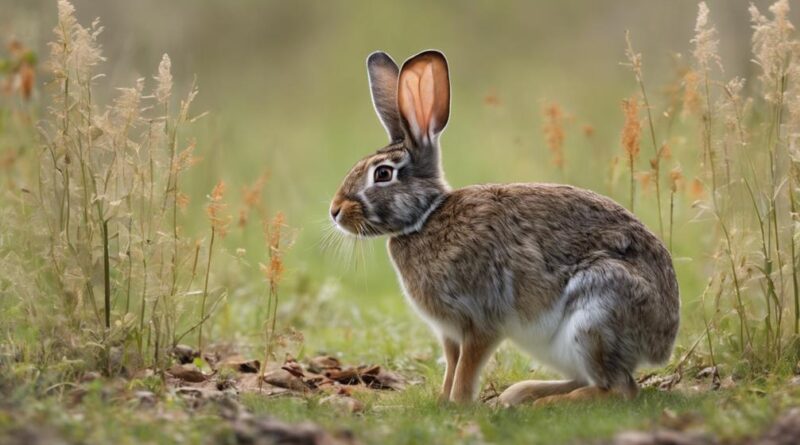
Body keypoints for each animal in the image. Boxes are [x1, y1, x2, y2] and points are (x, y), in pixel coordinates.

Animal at [328, 50, 680, 404]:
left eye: (383, 174)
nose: (335, 211)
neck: (425, 217)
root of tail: (662, 340)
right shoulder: (450, 333)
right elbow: (452, 365)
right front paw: (442, 401)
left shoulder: (480, 321)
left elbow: (466, 369)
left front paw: (459, 404)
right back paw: (521, 393)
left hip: (594, 316)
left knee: (618, 388)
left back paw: (544, 403)